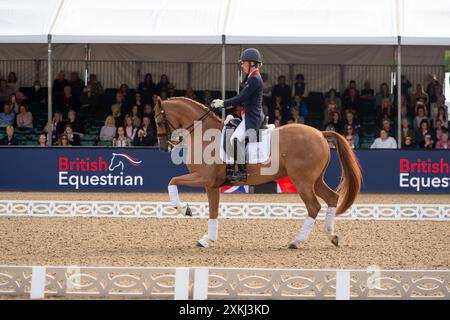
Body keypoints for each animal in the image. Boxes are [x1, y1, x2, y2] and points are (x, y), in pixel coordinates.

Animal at [155, 96, 362, 249]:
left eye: (157, 121)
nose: (164, 147)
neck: (204, 135)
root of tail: (320, 133)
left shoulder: (204, 178)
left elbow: (172, 181)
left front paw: (184, 209)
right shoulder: (212, 184)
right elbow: (213, 211)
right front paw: (207, 239)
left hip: (302, 181)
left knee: (314, 207)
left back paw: (296, 241)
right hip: (315, 180)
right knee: (332, 198)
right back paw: (332, 236)